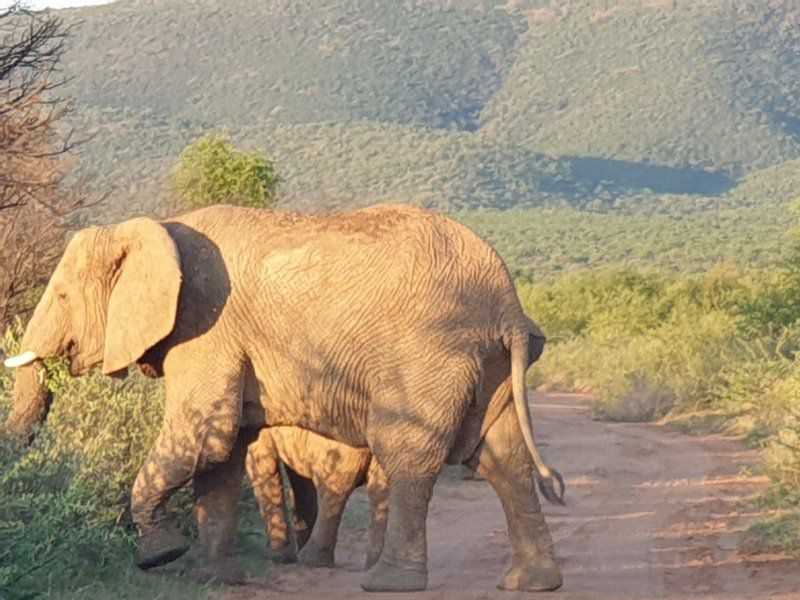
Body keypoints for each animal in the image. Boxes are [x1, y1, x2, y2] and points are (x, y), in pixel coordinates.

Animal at [247, 424, 390, 568]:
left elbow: (261, 461)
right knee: (380, 490)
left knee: (334, 484)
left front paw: (277, 558)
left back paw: (311, 560)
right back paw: (373, 564)